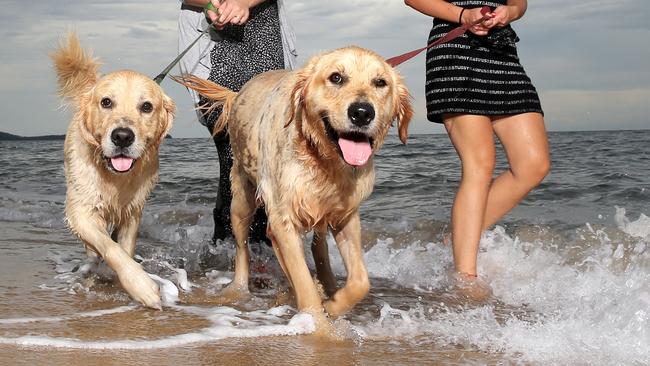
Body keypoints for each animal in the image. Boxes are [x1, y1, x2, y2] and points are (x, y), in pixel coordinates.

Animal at [50, 33, 173, 308]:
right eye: (106, 102)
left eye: (146, 107)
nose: (123, 137)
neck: (114, 176)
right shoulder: (81, 209)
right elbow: (110, 247)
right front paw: (141, 285)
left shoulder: (132, 212)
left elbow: (124, 247)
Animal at [175, 45, 410, 320]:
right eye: (336, 78)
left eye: (380, 82)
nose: (362, 113)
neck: (322, 160)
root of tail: (238, 92)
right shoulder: (282, 220)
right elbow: (302, 281)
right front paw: (318, 321)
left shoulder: (346, 215)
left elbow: (361, 281)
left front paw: (334, 304)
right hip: (241, 201)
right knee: (243, 250)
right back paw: (239, 288)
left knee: (319, 248)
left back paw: (328, 284)